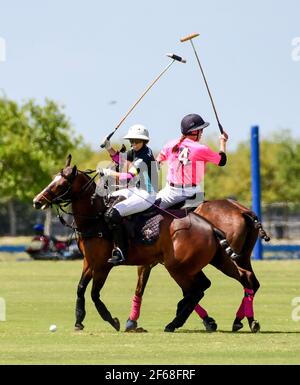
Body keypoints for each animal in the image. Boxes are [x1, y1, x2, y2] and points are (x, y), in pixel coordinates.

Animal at [125, 198, 270, 330]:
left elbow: (140, 288)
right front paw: (207, 320)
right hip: (240, 257)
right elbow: (193, 289)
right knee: (252, 281)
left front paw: (132, 321)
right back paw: (245, 320)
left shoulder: (154, 262)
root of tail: (243, 211)